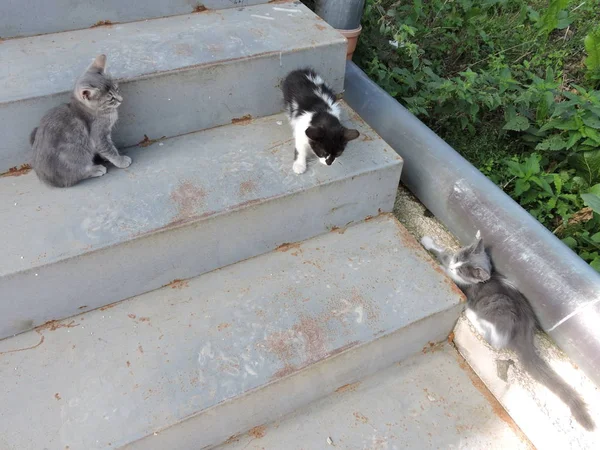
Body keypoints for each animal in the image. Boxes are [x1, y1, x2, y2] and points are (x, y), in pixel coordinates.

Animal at [29, 55, 131, 188]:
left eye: (117, 89)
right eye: (111, 98)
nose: (121, 100)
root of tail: (46, 179)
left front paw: (105, 157)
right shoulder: (99, 134)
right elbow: (109, 149)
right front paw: (120, 160)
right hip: (78, 154)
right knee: (77, 174)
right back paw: (95, 169)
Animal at [422, 234, 596, 430]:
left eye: (461, 271)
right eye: (458, 259)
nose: (453, 267)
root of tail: (526, 329)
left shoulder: (464, 286)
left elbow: (444, 265)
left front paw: (437, 261)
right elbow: (444, 253)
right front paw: (429, 242)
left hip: (499, 305)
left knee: (497, 339)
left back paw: (472, 314)